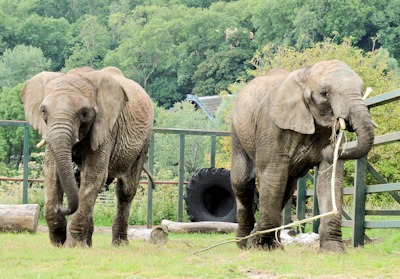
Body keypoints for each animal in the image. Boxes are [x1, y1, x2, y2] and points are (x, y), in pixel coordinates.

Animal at [20, 66, 155, 248]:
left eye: (84, 113)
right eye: (43, 111)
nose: (61, 207)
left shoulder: (107, 128)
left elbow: (93, 174)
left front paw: (73, 246)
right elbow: (52, 172)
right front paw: (58, 243)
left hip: (144, 142)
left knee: (125, 190)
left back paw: (119, 244)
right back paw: (89, 243)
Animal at [231, 60, 376, 253]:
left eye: (361, 90)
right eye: (324, 93)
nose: (329, 150)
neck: (304, 76)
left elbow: (329, 178)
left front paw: (333, 250)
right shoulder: (271, 126)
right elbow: (272, 174)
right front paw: (261, 247)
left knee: (286, 189)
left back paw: (272, 243)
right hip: (237, 133)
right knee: (243, 183)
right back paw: (243, 243)